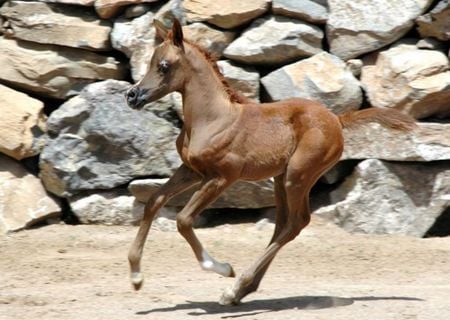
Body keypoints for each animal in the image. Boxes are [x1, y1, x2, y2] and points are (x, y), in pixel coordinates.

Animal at [124, 18, 414, 304]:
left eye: (164, 65)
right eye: (150, 61)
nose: (132, 96)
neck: (213, 118)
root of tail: (337, 119)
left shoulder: (222, 177)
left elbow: (183, 219)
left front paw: (223, 268)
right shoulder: (192, 171)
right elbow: (154, 201)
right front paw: (136, 276)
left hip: (298, 176)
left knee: (296, 223)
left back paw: (235, 287)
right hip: (280, 178)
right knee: (282, 225)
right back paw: (242, 290)